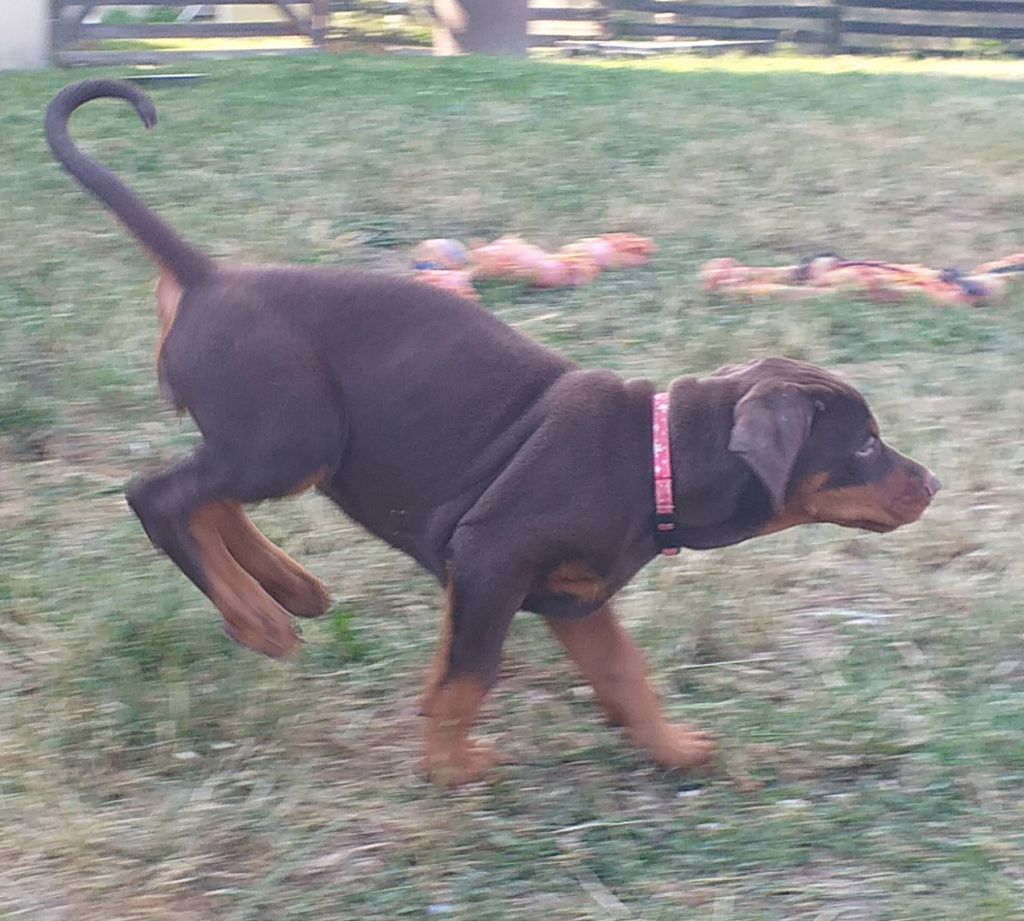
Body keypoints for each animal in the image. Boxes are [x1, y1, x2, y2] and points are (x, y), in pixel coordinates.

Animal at [46, 80, 939, 785]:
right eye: (864, 443)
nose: (932, 483)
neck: (652, 460)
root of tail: (207, 277)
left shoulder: (568, 597)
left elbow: (621, 675)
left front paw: (674, 749)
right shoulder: (491, 559)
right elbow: (471, 677)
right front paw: (450, 768)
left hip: (280, 447)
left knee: (206, 495)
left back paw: (287, 590)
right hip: (293, 439)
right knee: (161, 495)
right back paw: (259, 619)